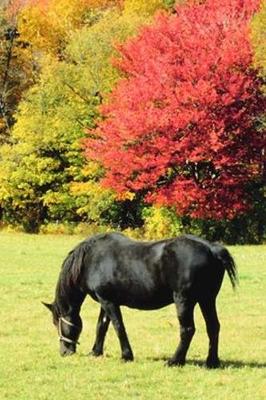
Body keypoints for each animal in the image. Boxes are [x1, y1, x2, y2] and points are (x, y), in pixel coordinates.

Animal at [43, 233, 237, 368]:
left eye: (56, 322)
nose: (64, 352)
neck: (92, 259)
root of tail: (212, 249)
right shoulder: (104, 301)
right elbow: (102, 327)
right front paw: (95, 352)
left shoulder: (109, 302)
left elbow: (118, 327)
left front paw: (126, 355)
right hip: (207, 300)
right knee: (213, 327)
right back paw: (211, 362)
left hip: (184, 300)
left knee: (187, 330)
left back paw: (175, 361)